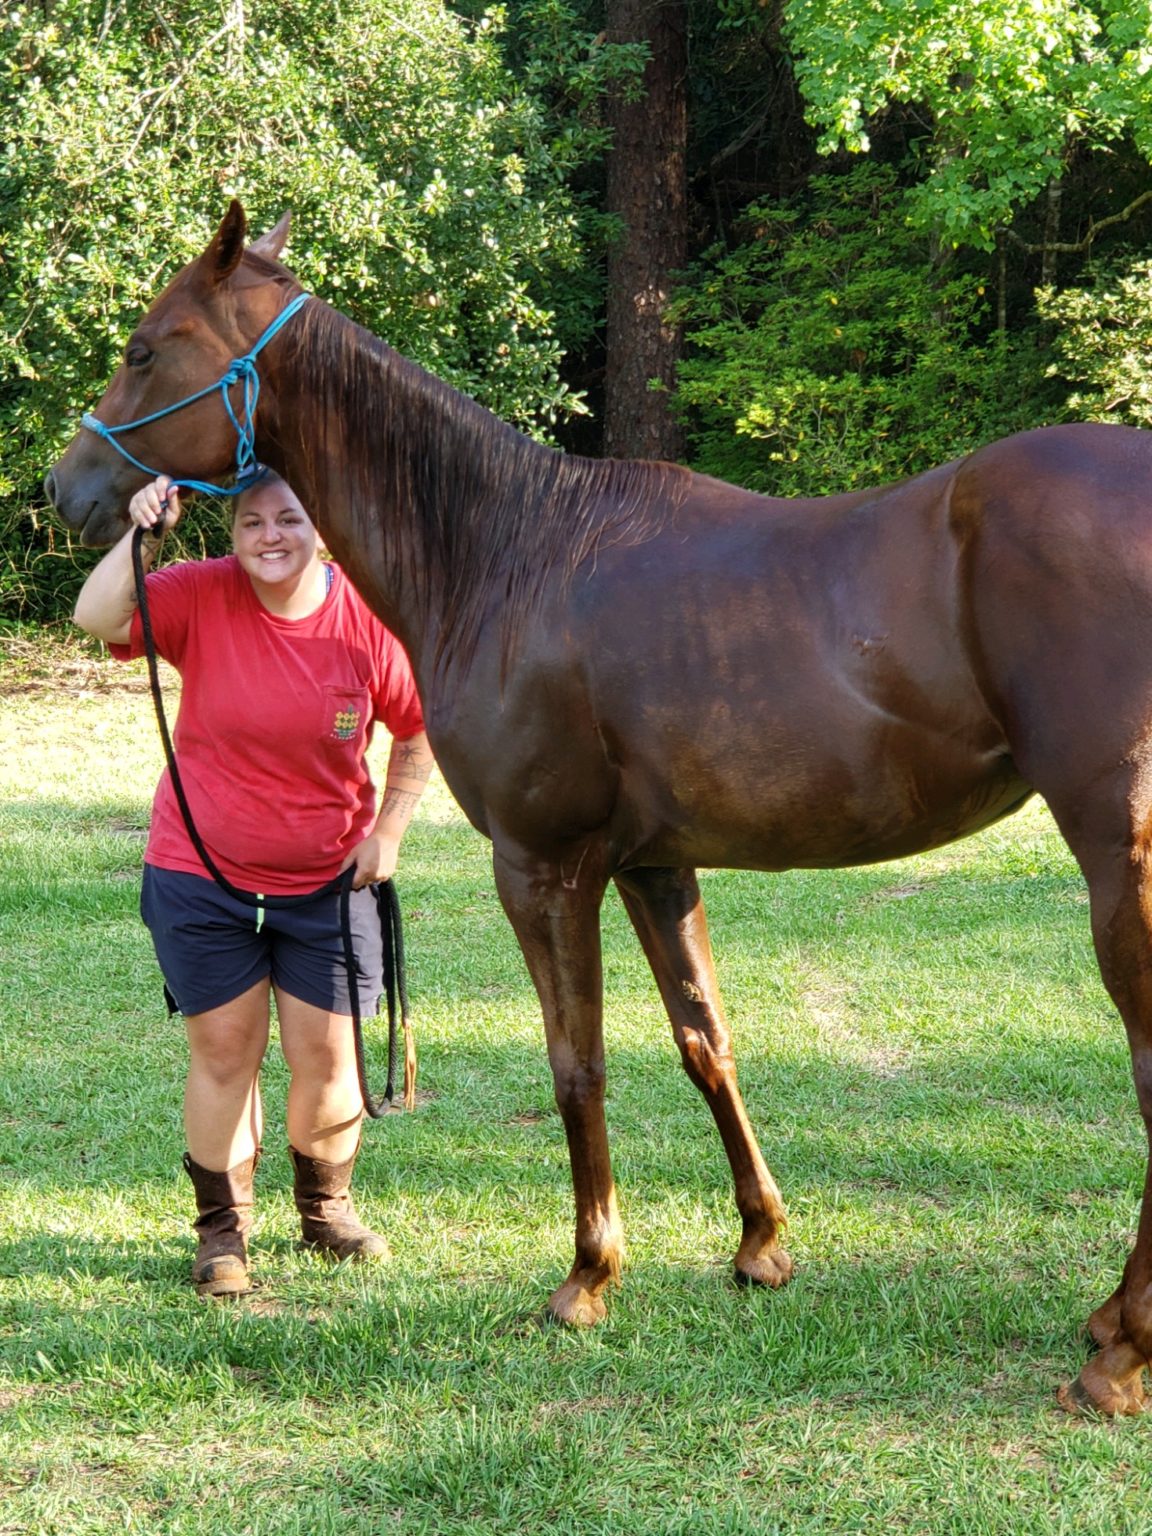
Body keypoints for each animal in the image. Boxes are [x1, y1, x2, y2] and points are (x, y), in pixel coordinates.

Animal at [47, 204, 1152, 1413]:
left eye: (147, 348)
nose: (66, 488)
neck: (508, 552)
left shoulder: (543, 864)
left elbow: (578, 1065)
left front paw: (587, 1278)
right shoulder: (652, 864)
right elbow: (705, 1041)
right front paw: (760, 1246)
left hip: (1120, 861)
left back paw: (1117, 1356)